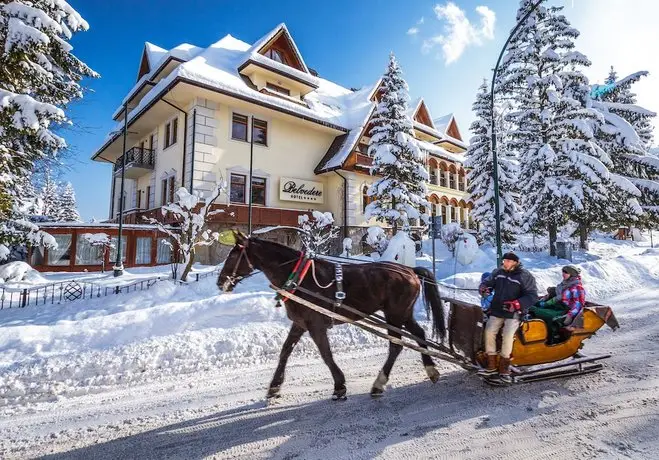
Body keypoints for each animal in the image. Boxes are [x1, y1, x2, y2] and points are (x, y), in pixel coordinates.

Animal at [218, 232, 448, 400]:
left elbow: (326, 354)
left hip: (394, 314)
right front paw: (274, 387)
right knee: (419, 334)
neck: (299, 277)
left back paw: (379, 383)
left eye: (233, 255)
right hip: (403, 313)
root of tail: (410, 270)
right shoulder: (300, 324)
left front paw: (339, 385)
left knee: (396, 345)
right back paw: (431, 370)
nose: (220, 282)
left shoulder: (316, 324)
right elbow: (285, 352)